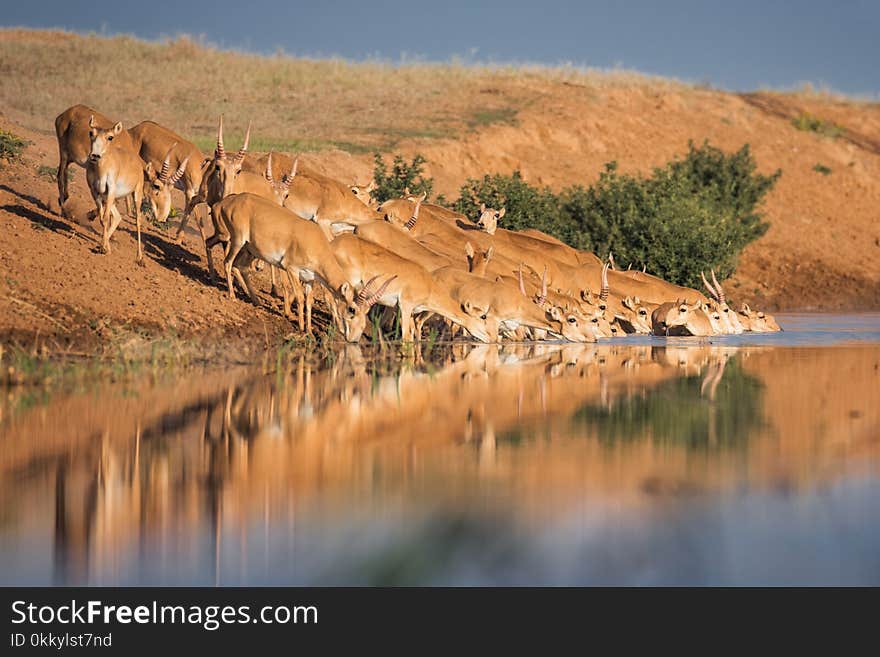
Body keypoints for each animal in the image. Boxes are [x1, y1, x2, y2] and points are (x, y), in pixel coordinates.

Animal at [85, 114, 145, 262]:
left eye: (110, 137)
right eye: (91, 133)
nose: (95, 155)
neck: (101, 169)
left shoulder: (110, 189)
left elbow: (106, 218)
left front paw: (103, 248)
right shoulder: (95, 192)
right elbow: (102, 219)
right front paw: (106, 248)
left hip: (136, 195)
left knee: (138, 220)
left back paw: (139, 257)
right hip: (109, 199)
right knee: (117, 217)